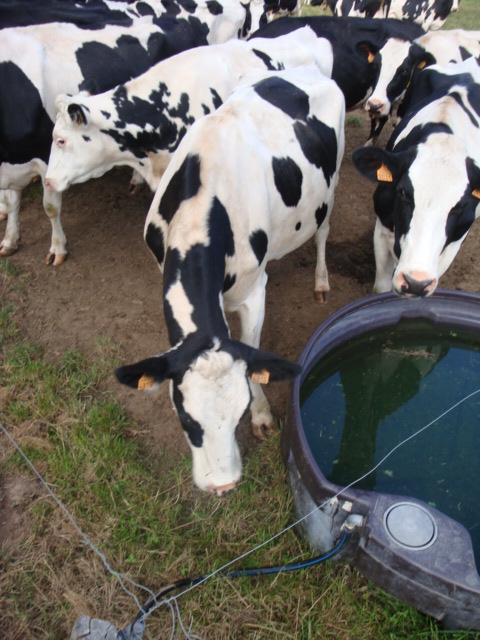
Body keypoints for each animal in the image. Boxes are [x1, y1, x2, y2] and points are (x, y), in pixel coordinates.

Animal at [114, 63, 344, 496]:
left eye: (239, 416)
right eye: (186, 419)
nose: (222, 486)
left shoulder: (252, 293)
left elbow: (253, 351)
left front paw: (263, 415)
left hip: (330, 188)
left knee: (323, 231)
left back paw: (321, 281)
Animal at [350, 57, 480, 298]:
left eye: (460, 206)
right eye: (403, 193)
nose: (416, 282)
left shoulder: (454, 242)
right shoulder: (382, 226)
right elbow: (381, 289)